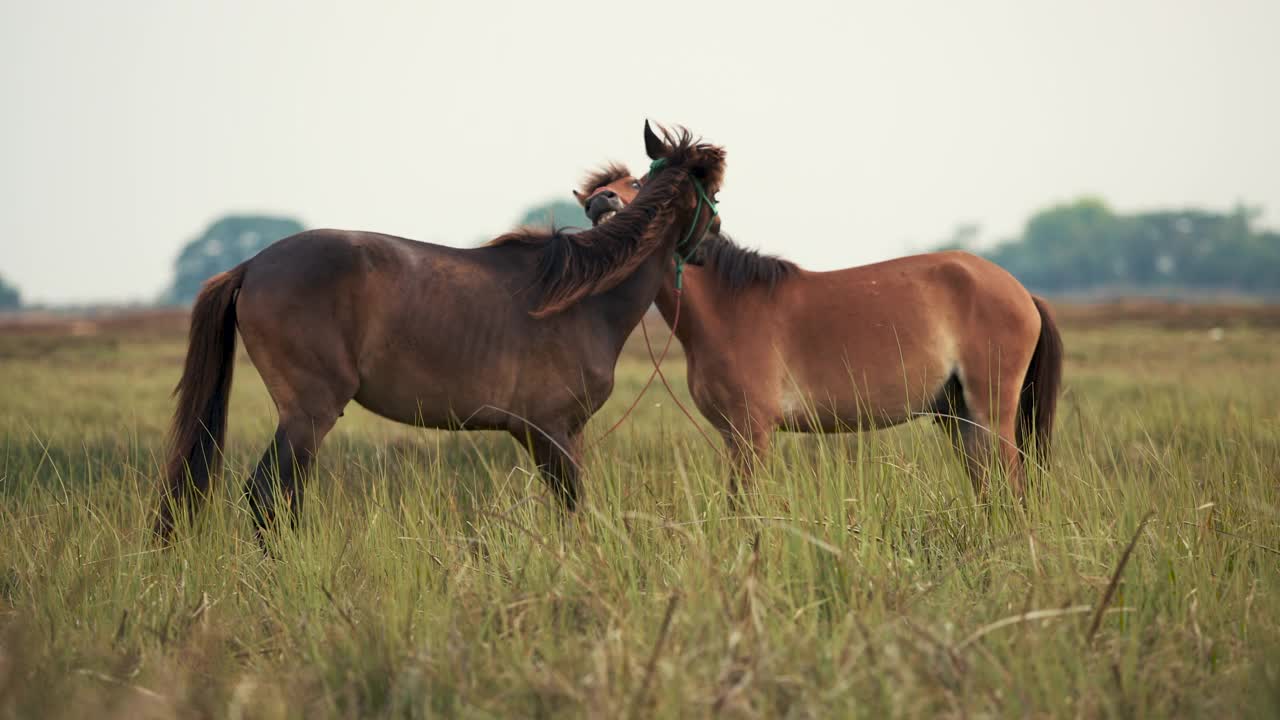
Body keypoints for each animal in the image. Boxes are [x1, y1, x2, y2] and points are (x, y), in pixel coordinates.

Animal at [154, 120, 727, 540]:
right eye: (715, 193)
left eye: (635, 184)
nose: (714, 242)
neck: (586, 298)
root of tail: (251, 265)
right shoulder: (548, 431)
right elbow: (571, 512)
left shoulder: (569, 433)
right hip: (307, 416)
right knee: (268, 498)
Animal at [576, 163, 1064, 499]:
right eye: (593, 198)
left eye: (638, 183)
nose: (600, 201)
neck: (727, 306)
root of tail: (1021, 292)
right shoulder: (733, 435)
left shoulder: (752, 432)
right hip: (958, 417)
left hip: (990, 411)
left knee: (1011, 485)